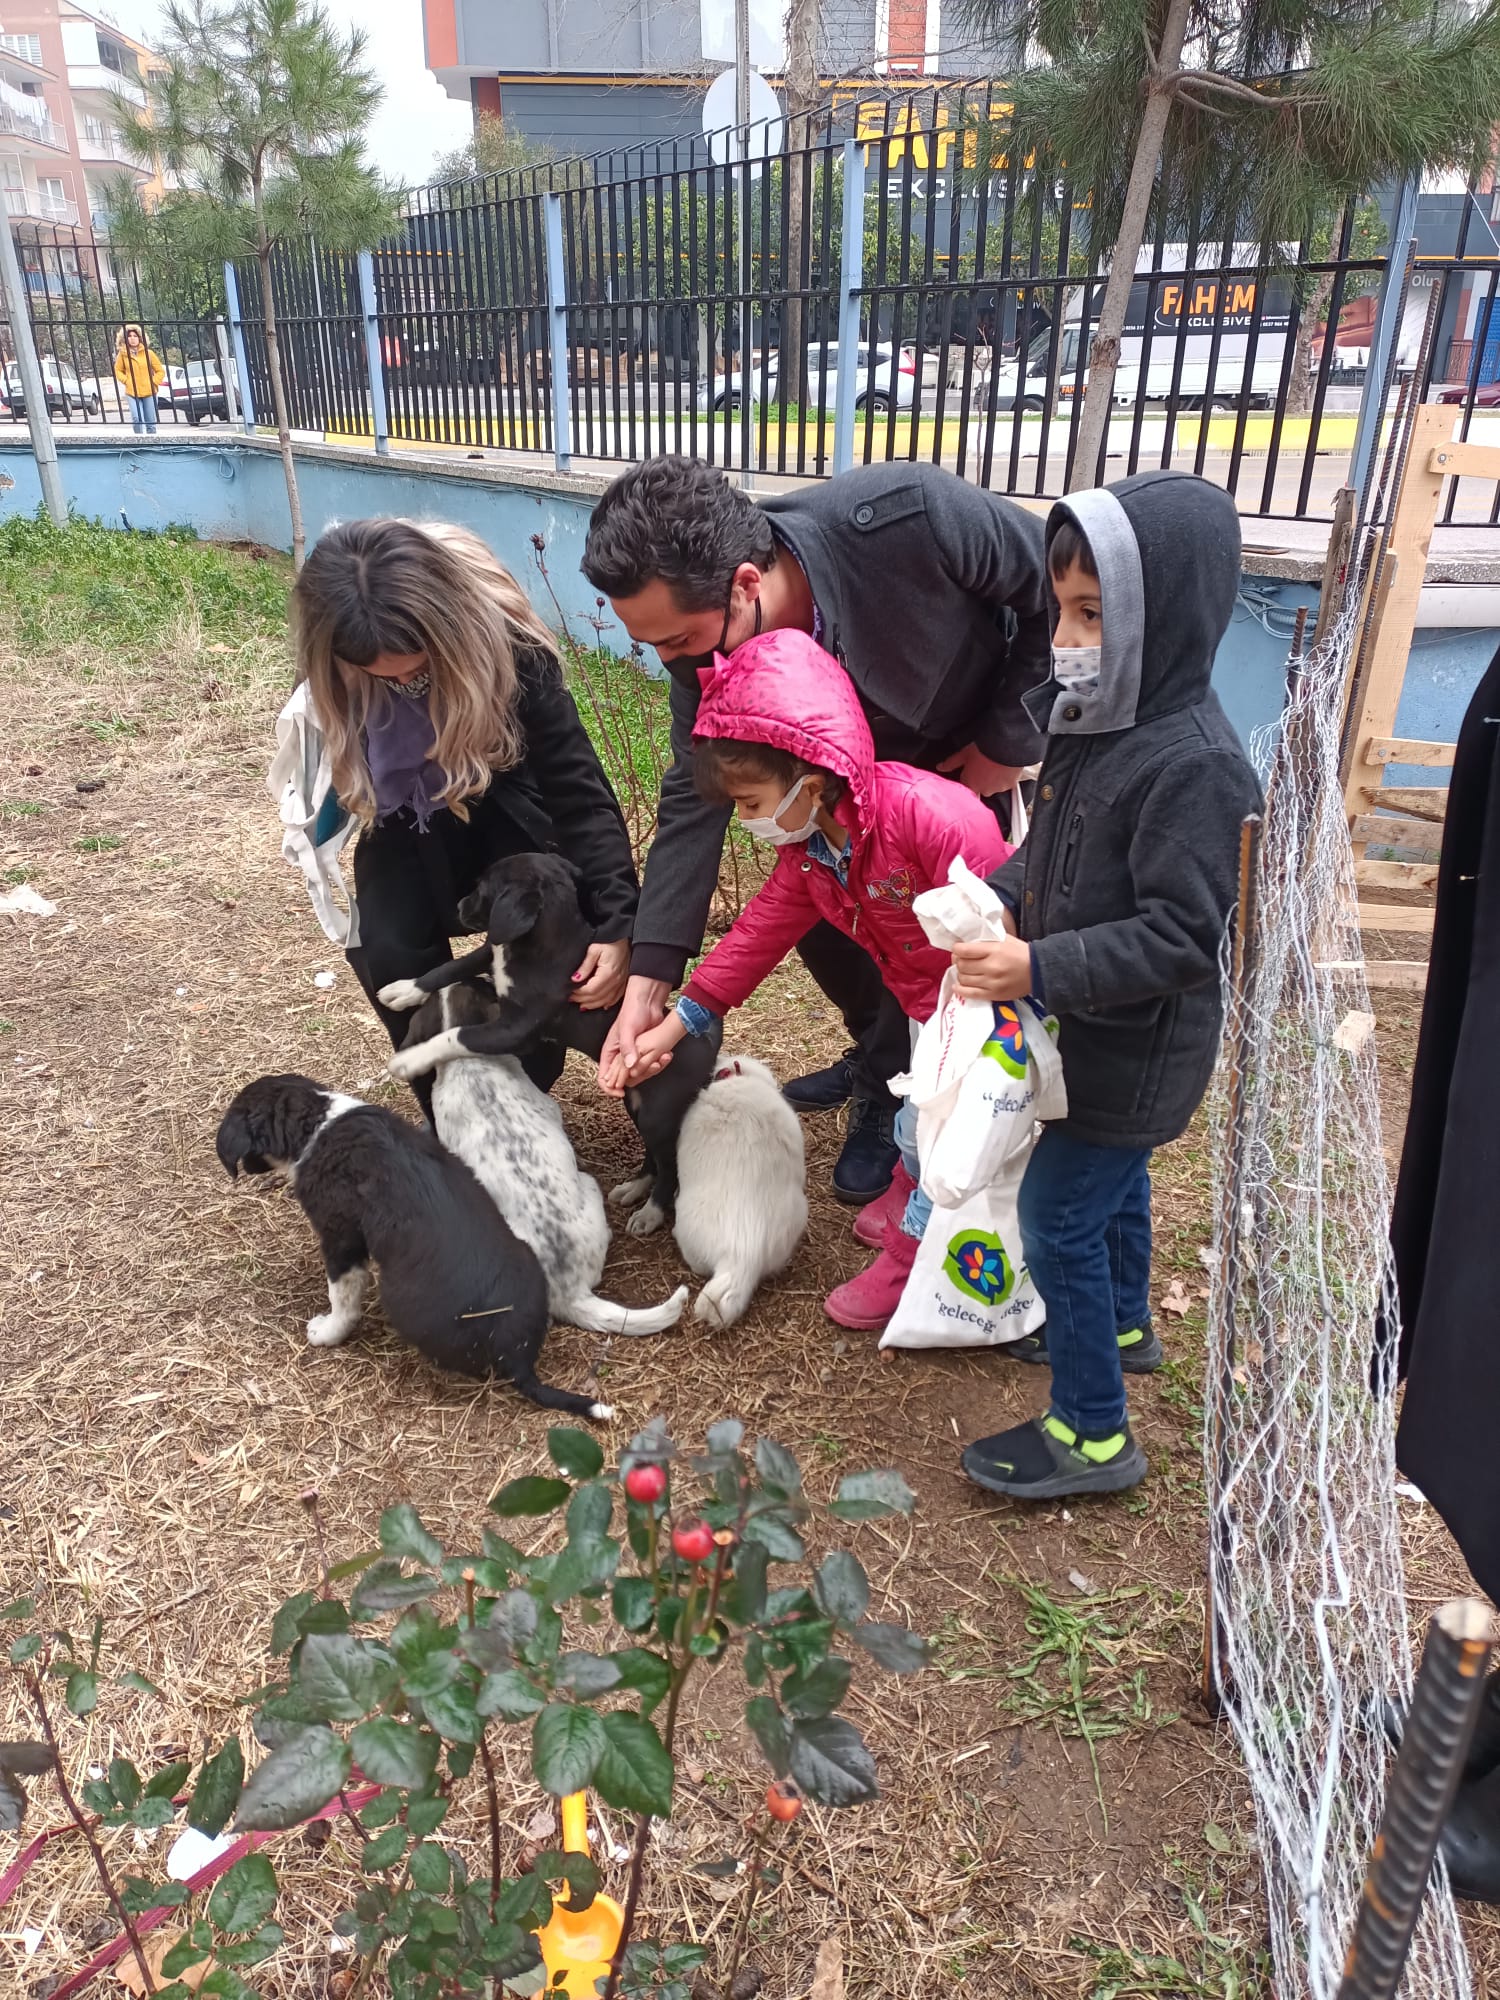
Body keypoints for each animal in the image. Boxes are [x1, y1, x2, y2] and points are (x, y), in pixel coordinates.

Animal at [213, 1080, 612, 1424]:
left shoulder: (340, 1237)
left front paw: (327, 1331)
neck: (317, 1123)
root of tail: (518, 1356)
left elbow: (342, 1296)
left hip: (398, 1296)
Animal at [378, 856, 724, 1232]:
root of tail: (708, 1046)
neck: (545, 943)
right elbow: (453, 965)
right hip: (636, 1103)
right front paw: (405, 989)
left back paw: (652, 1211)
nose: (458, 906)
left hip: (658, 1112)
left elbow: (458, 1034)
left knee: (669, 1164)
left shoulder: (516, 1030)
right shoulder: (490, 958)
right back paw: (635, 1187)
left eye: (482, 887)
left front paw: (410, 1058)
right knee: (655, 1156)